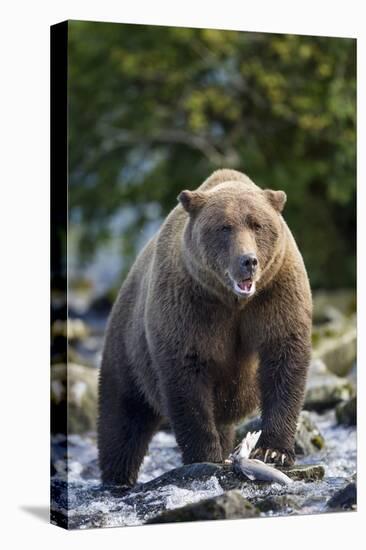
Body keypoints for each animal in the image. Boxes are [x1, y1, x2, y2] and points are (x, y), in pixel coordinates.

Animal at [97, 168, 312, 488]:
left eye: (257, 224)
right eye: (224, 227)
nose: (248, 261)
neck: (233, 301)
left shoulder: (276, 293)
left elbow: (284, 358)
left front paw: (273, 451)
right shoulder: (189, 306)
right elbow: (187, 377)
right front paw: (204, 455)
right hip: (126, 348)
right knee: (122, 418)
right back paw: (117, 477)